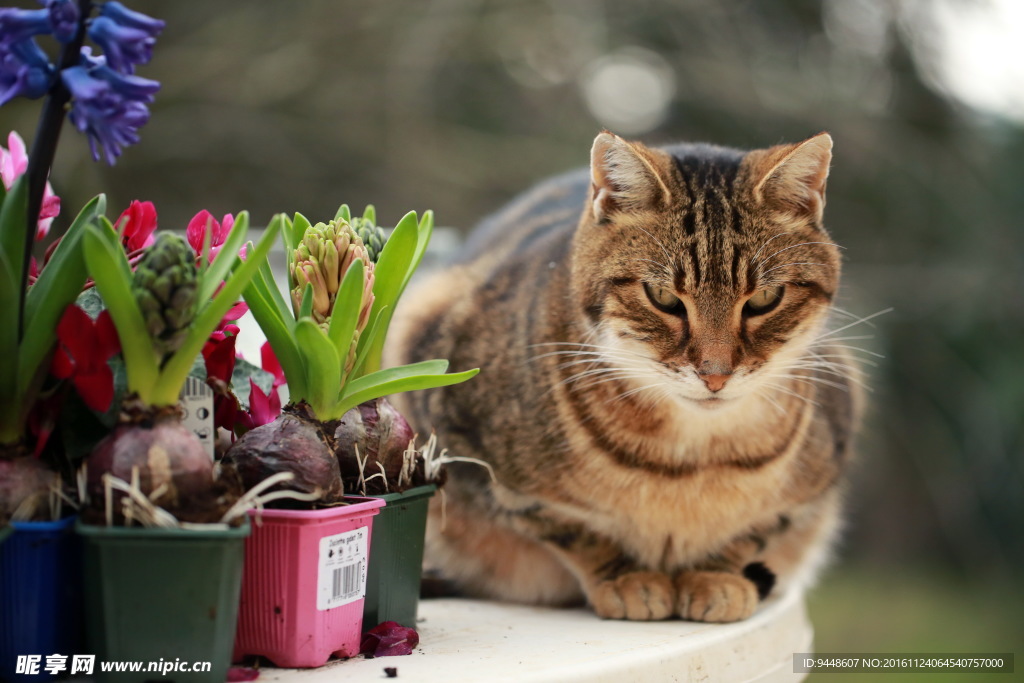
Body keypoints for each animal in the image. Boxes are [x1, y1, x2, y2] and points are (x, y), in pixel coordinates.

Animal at [387, 131, 860, 622]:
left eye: (765, 299)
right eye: (663, 297)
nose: (715, 375)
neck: (689, 462)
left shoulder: (814, 480)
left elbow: (755, 532)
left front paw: (714, 575)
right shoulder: (462, 439)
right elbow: (568, 528)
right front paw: (626, 577)